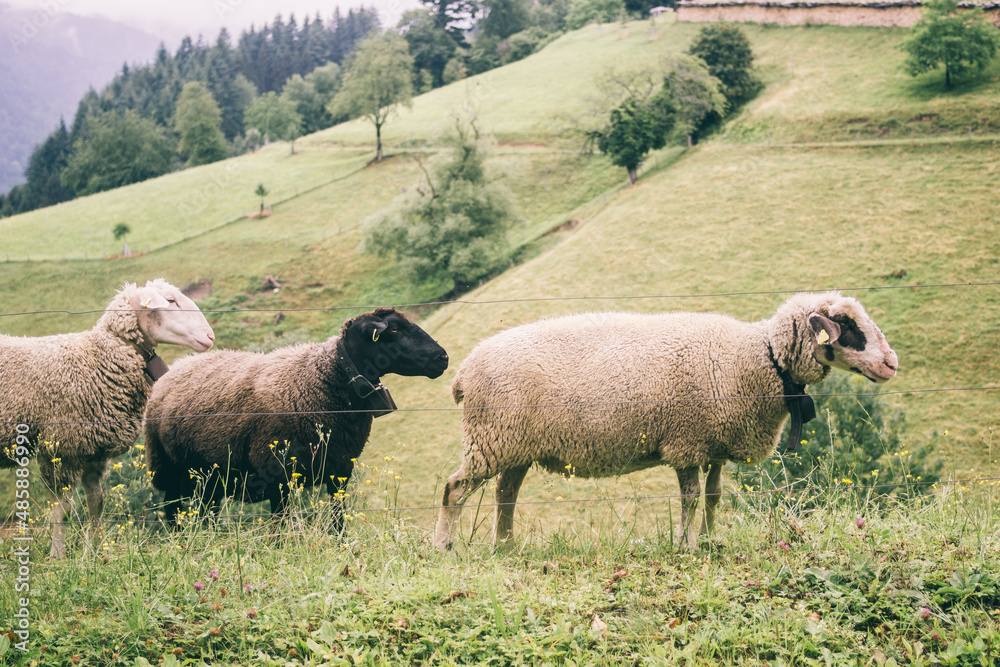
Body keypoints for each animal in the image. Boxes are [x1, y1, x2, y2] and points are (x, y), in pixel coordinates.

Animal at [1, 279, 216, 558]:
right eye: (170, 301)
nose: (210, 337)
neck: (98, 358)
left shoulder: (93, 450)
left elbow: (97, 502)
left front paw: (98, 549)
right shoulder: (61, 448)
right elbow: (62, 510)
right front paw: (57, 556)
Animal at [143, 307, 449, 526]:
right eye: (394, 328)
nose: (442, 358)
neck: (324, 378)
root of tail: (177, 366)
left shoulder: (339, 471)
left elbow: (338, 519)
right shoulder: (277, 477)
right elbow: (280, 526)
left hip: (211, 478)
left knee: (208, 512)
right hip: (169, 469)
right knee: (173, 513)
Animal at [433, 291, 899, 551]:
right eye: (846, 324)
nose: (891, 364)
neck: (754, 358)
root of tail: (464, 374)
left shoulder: (714, 444)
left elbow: (713, 496)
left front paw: (710, 540)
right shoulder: (687, 442)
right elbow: (690, 498)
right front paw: (686, 545)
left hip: (514, 445)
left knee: (504, 494)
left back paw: (506, 546)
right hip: (491, 438)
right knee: (455, 490)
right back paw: (446, 546)